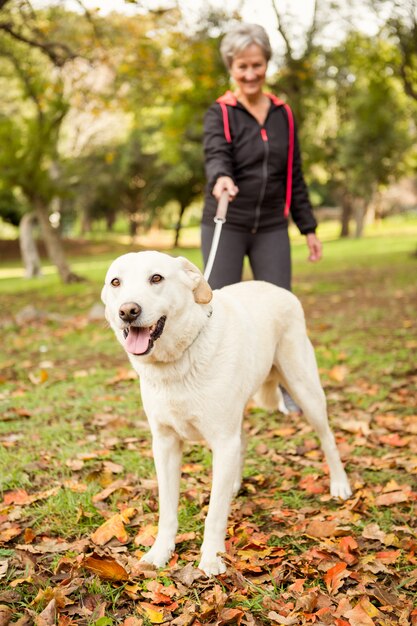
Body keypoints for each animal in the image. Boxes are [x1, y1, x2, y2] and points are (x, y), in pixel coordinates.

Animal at [101, 251, 352, 572]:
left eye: (156, 278)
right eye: (115, 282)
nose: (128, 311)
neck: (177, 362)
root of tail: (273, 287)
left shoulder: (221, 440)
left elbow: (215, 514)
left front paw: (211, 558)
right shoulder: (165, 444)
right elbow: (167, 510)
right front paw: (160, 552)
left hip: (304, 390)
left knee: (327, 438)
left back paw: (339, 484)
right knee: (242, 443)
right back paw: (233, 482)